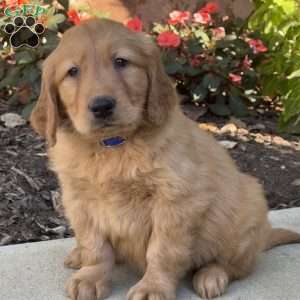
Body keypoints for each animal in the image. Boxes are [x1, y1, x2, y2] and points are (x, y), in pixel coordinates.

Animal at [30, 19, 300, 300]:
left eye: (121, 61)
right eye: (72, 71)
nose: (102, 106)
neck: (113, 146)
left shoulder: (175, 201)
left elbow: (163, 251)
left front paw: (153, 287)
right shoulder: (79, 201)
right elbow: (94, 245)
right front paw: (91, 276)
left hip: (245, 215)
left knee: (234, 265)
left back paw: (212, 276)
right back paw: (78, 256)